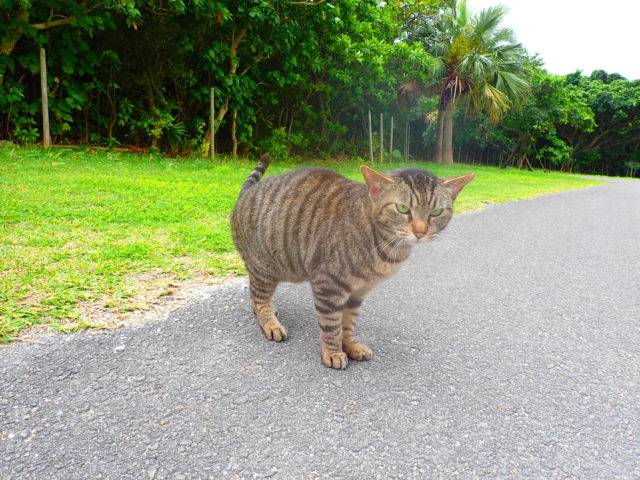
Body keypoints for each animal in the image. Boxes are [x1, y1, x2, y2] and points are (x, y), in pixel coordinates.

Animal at [232, 154, 472, 368]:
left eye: (436, 212)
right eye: (403, 209)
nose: (420, 232)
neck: (386, 250)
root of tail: (247, 191)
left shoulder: (358, 292)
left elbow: (348, 324)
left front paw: (350, 346)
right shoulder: (328, 286)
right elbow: (331, 325)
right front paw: (333, 352)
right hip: (265, 268)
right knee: (258, 298)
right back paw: (269, 322)